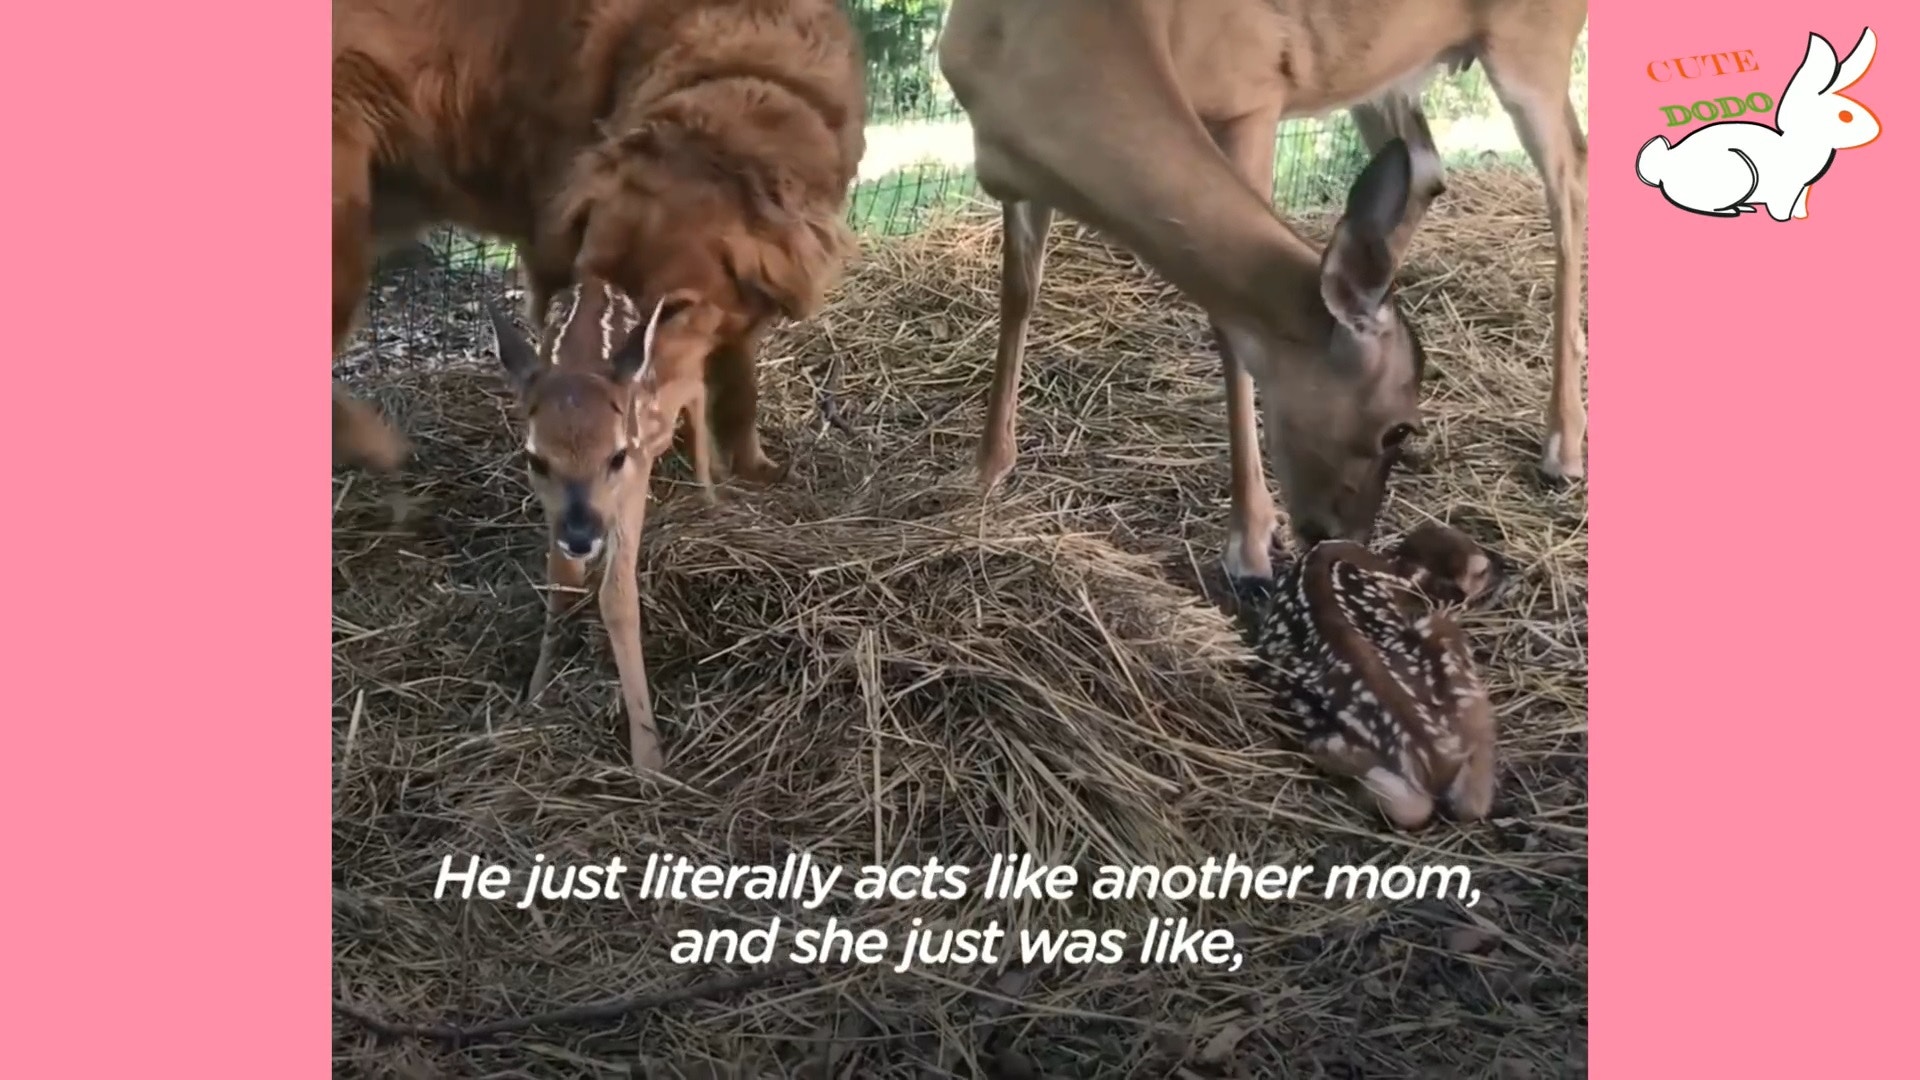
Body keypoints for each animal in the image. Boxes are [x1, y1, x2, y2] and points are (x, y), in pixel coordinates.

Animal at [940, 0, 1589, 584]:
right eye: (1399, 428)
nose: (1350, 536)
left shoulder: (1250, 94)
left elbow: (1232, 330)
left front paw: (1248, 542)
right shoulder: (1018, 168)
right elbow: (1019, 290)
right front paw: (987, 469)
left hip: (1533, 42)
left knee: (1570, 177)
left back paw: (1563, 447)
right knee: (1426, 168)